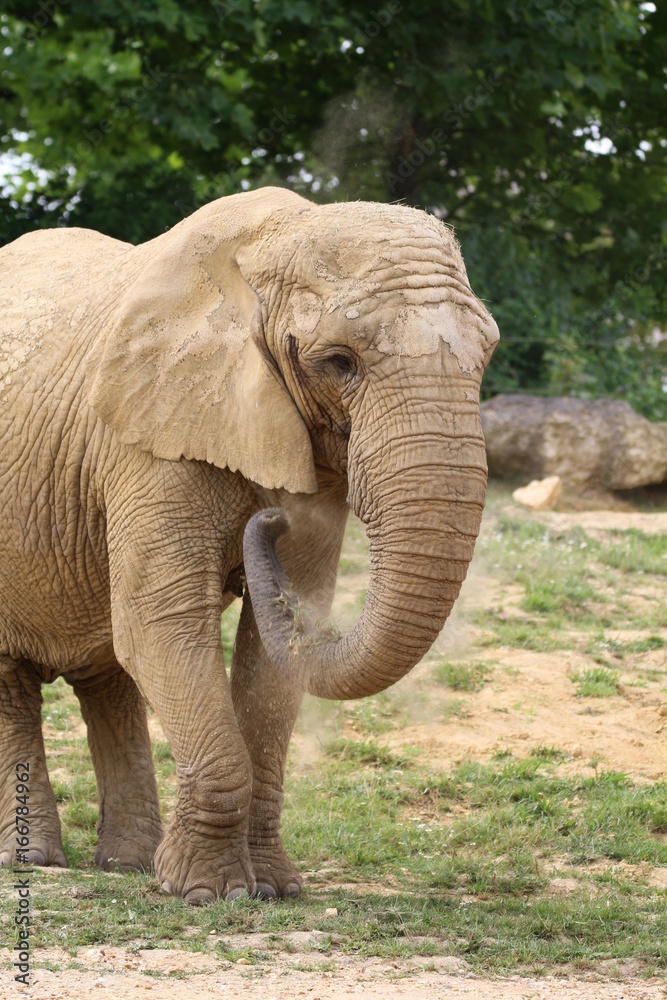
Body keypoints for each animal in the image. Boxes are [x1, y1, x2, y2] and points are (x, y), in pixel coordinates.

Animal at [0, 186, 499, 903]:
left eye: (486, 356)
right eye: (339, 362)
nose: (271, 520)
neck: (278, 241)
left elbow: (274, 647)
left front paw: (274, 889)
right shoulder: (150, 439)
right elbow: (164, 622)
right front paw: (210, 894)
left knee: (110, 669)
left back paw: (126, 864)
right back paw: (37, 861)